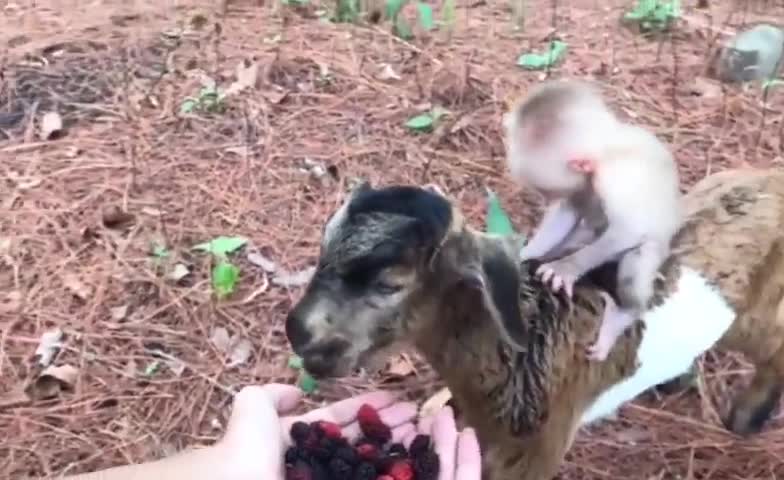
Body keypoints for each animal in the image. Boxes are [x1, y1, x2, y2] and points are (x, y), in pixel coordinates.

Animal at [284, 168, 784, 480]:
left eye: (390, 284)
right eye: (323, 248)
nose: (298, 331)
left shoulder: (536, 451)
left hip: (756, 315)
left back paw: (746, 417)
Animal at [506, 80, 684, 362]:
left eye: (545, 190)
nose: (545, 198)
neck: (608, 148)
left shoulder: (617, 178)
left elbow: (628, 229)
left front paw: (566, 268)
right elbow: (567, 212)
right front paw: (526, 253)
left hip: (654, 250)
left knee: (635, 263)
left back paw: (621, 316)